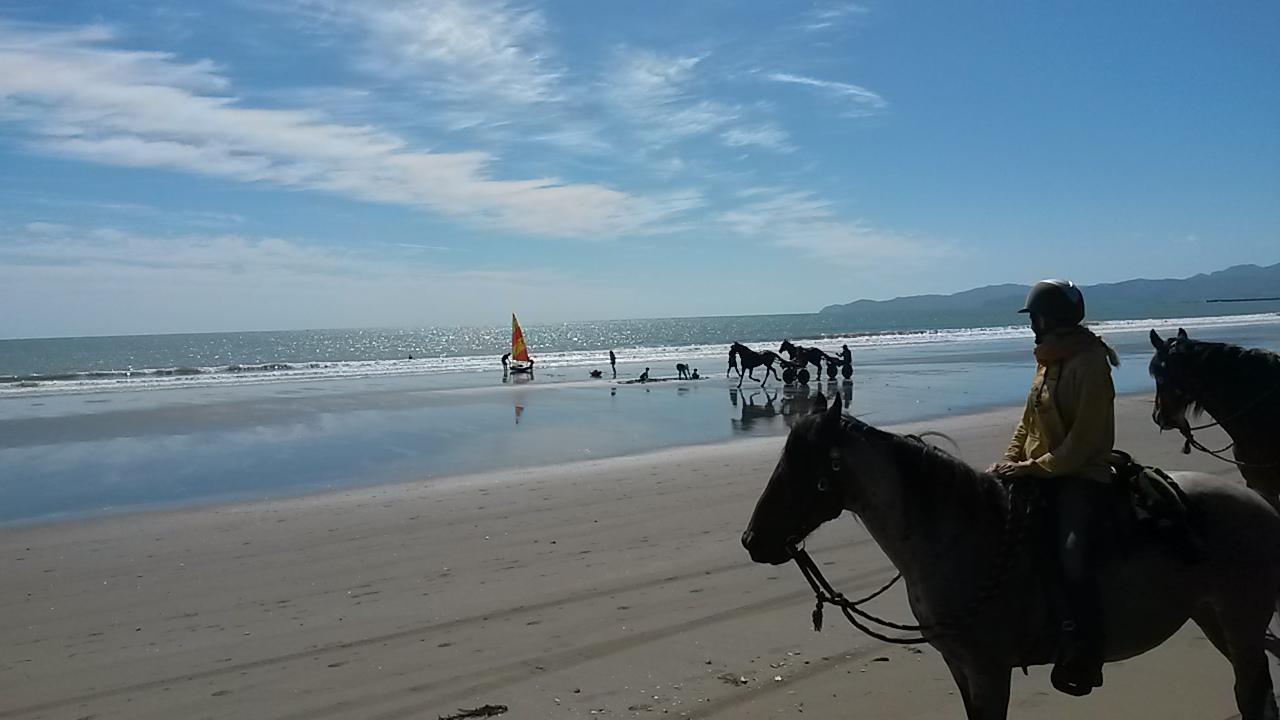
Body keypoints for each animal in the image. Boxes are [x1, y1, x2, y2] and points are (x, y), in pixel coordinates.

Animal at [742, 392, 1280, 717]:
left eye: (802, 467)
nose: (751, 540)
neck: (962, 537)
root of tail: (1263, 509)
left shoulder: (990, 670)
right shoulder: (960, 667)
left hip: (1241, 624)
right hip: (1216, 621)